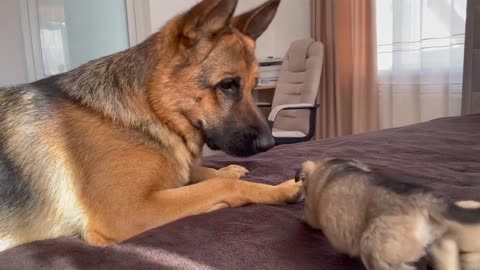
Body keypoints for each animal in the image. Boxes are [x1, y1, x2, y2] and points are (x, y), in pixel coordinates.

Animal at [0, 0, 300, 251]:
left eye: (254, 86)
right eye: (227, 84)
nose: (270, 144)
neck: (154, 111)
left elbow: (200, 173)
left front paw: (227, 170)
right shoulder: (129, 211)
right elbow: (219, 186)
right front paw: (280, 189)